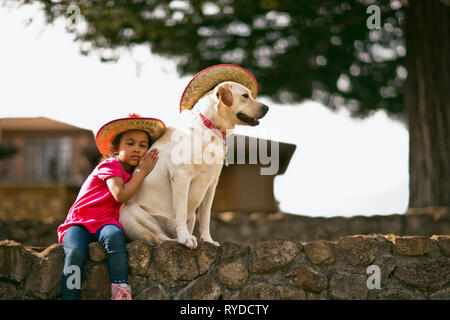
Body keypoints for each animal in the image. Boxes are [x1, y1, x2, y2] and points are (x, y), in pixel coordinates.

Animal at [118, 79, 268, 248]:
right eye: (245, 96)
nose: (267, 108)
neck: (210, 128)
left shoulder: (212, 184)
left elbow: (206, 217)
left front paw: (208, 240)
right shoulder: (181, 177)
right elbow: (181, 212)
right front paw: (185, 238)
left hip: (191, 216)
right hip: (129, 212)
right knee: (159, 238)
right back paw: (177, 239)